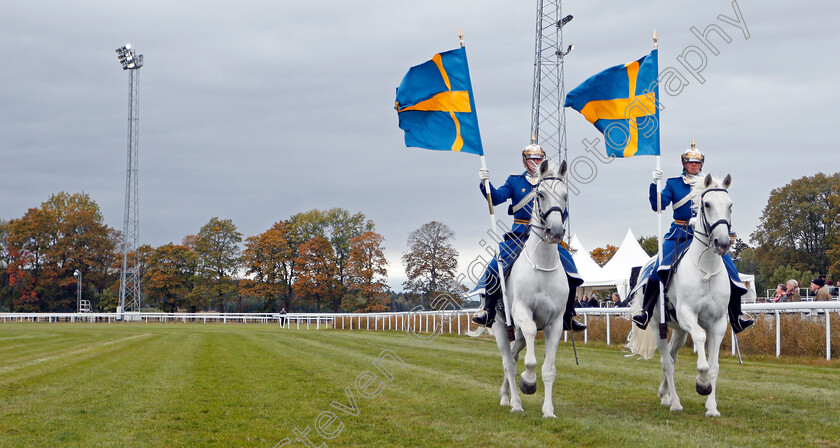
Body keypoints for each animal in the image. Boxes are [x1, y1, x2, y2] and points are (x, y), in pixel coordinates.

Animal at [492, 159, 572, 418]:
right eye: (540, 194)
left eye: (565, 195)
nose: (555, 231)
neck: (542, 266)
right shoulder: (522, 312)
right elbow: (529, 361)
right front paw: (528, 381)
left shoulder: (555, 323)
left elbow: (549, 369)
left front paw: (548, 410)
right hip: (500, 326)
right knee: (509, 362)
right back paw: (515, 403)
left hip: (514, 333)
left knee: (514, 353)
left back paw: (505, 395)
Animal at [628, 173, 740, 418]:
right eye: (707, 204)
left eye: (730, 206)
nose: (722, 243)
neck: (705, 269)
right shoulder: (688, 315)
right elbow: (700, 343)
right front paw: (702, 383)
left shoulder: (718, 323)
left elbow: (714, 366)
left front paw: (712, 407)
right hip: (656, 325)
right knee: (667, 362)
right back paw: (675, 403)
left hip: (679, 331)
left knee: (672, 355)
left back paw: (665, 394)